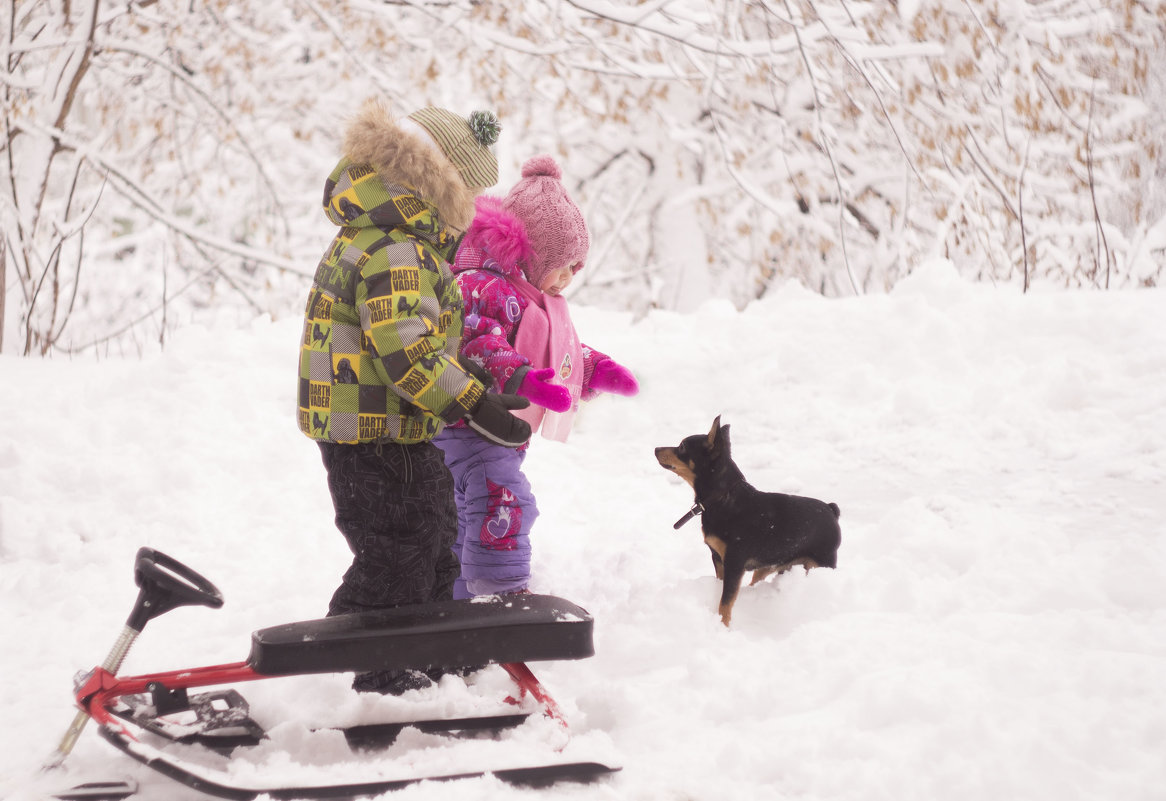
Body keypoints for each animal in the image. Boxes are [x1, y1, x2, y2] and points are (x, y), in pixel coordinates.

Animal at [657, 417, 839, 629]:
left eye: (682, 447)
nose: (656, 448)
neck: (722, 498)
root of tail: (832, 510)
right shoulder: (718, 558)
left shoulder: (734, 563)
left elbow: (726, 601)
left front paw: (723, 626)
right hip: (773, 566)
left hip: (820, 563)